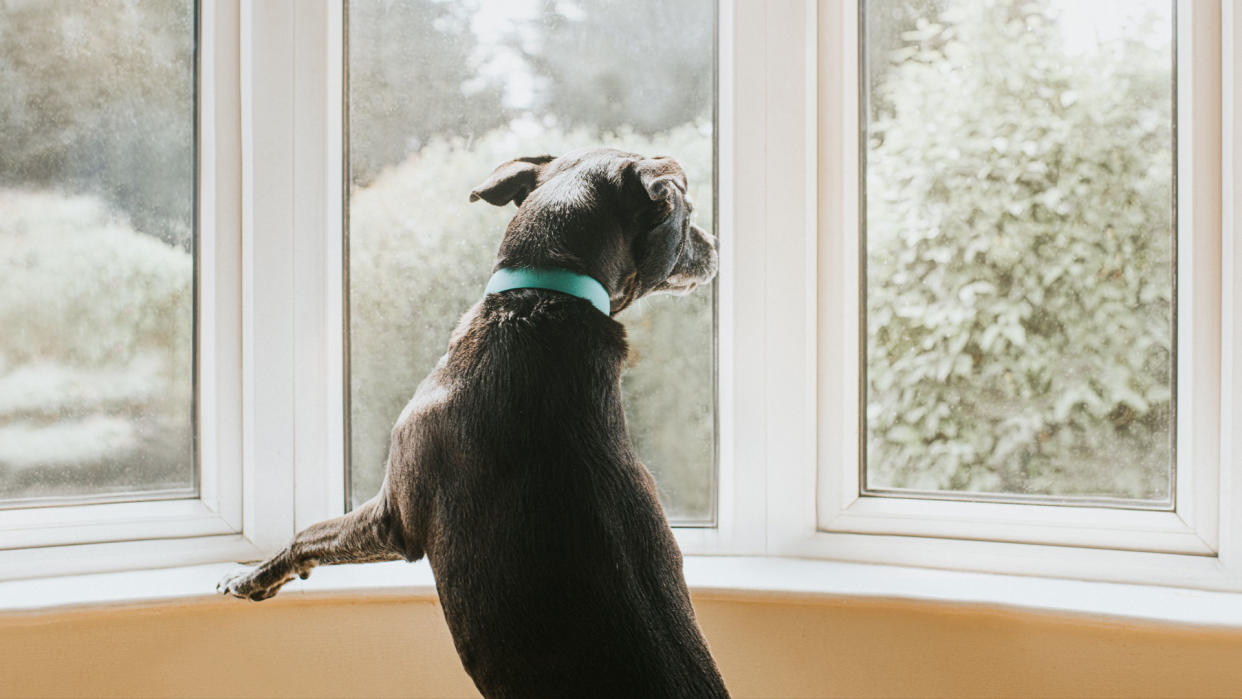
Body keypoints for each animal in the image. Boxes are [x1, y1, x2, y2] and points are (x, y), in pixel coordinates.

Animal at [218, 147, 725, 699]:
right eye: (689, 214)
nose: (715, 244)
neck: (540, 300)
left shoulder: (392, 517)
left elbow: (308, 532)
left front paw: (250, 577)